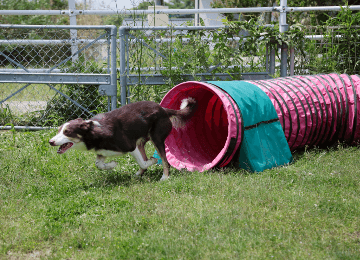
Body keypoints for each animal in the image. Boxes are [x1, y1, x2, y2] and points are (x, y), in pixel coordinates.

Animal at [48, 97, 197, 181]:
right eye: (58, 130)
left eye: (67, 132)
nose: (50, 142)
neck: (93, 133)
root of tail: (164, 109)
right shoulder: (102, 152)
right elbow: (99, 164)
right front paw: (112, 164)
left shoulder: (130, 146)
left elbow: (144, 162)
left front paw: (153, 161)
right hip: (141, 141)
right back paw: (138, 175)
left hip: (157, 138)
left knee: (165, 162)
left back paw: (164, 177)